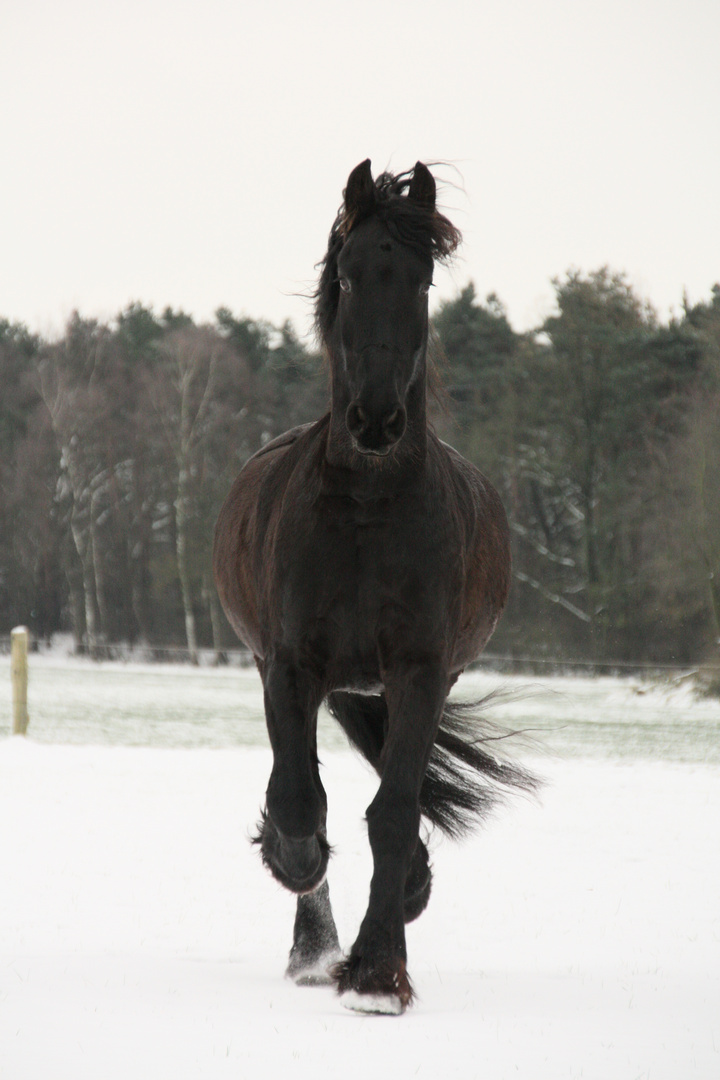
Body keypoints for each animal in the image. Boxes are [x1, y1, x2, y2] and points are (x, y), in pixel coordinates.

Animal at [213, 159, 535, 1010]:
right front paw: (301, 884)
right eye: (352, 275)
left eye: (421, 280)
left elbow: (392, 812)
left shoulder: (419, 669)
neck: (367, 511)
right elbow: (299, 802)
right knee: (302, 788)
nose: (377, 421)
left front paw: (379, 969)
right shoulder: (290, 666)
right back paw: (309, 942)